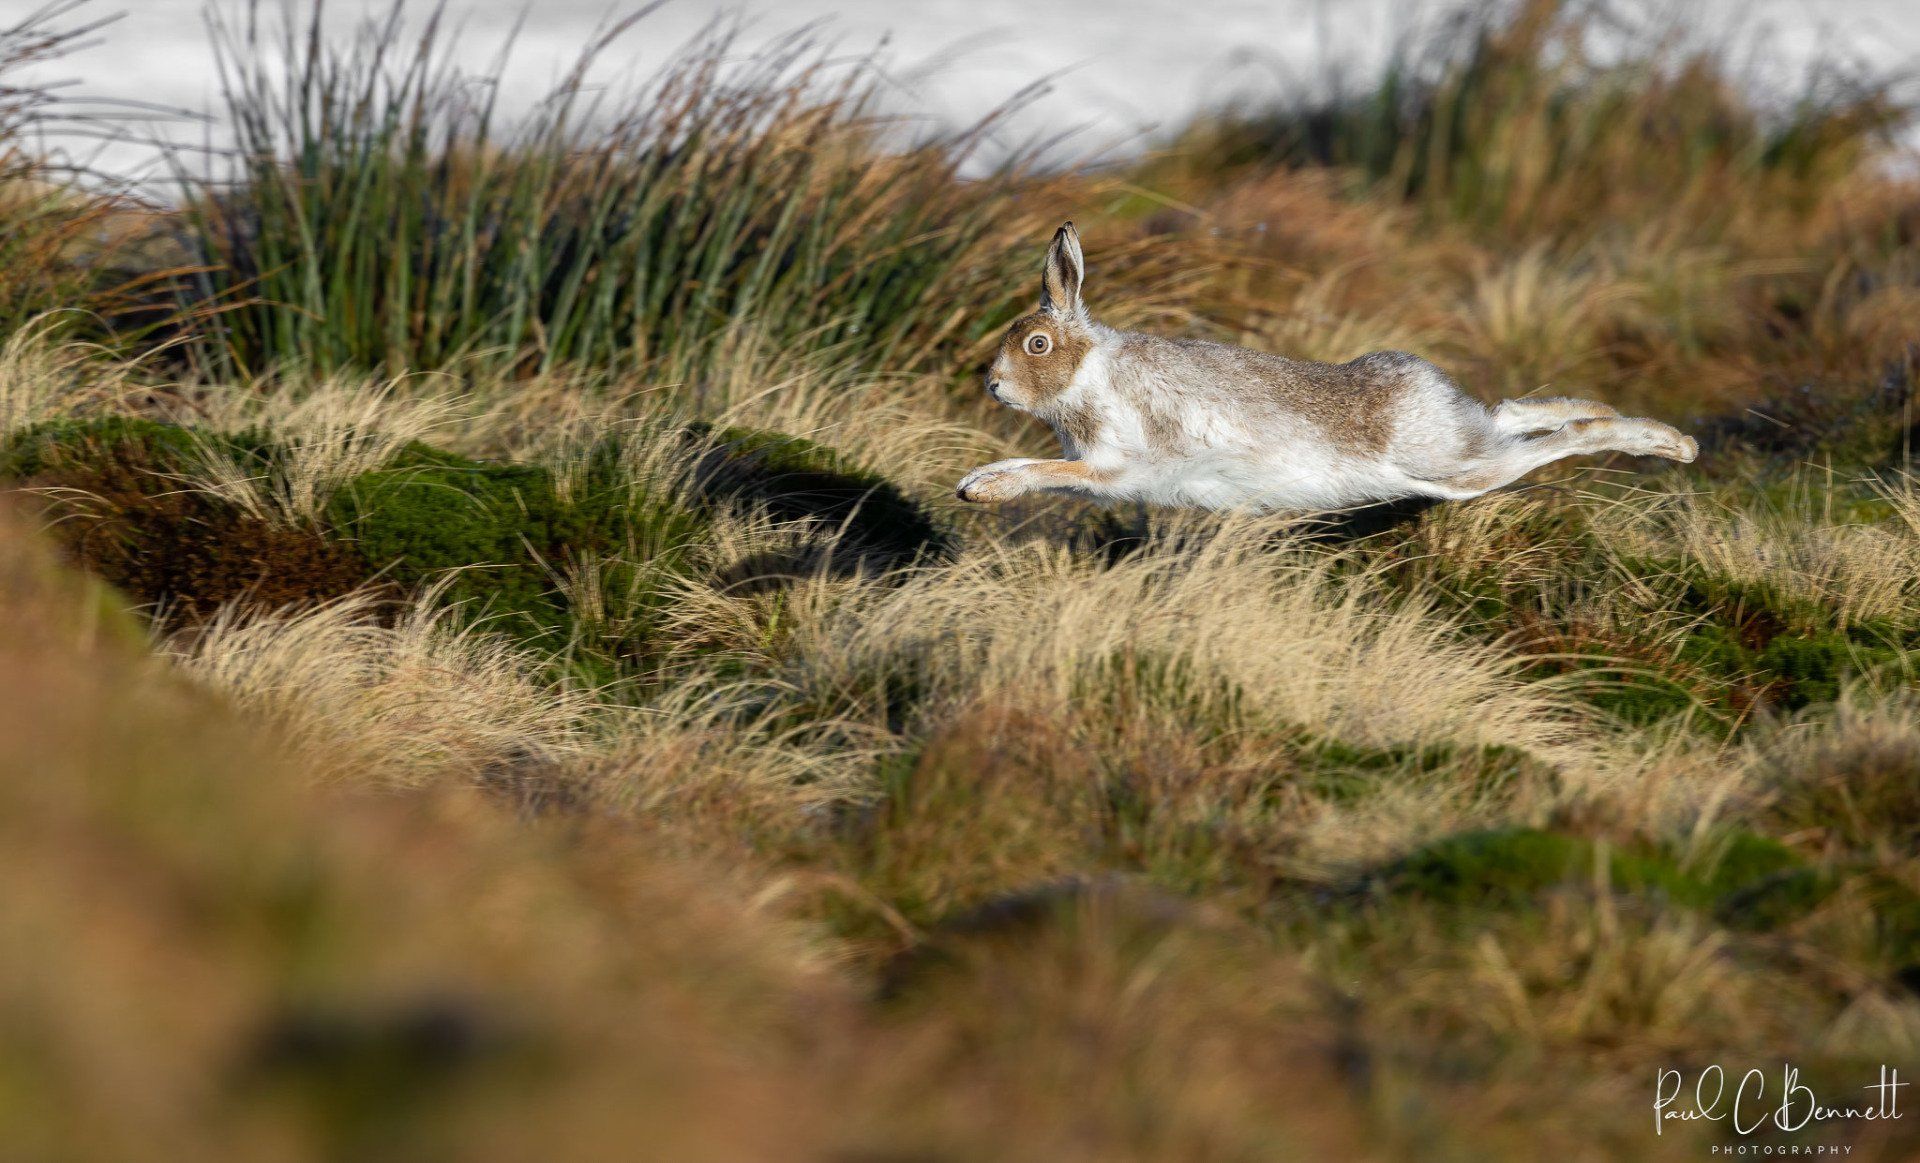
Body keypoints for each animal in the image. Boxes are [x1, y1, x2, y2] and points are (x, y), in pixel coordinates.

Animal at [956, 222, 1697, 511]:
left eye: (1036, 345)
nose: (993, 385)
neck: (1090, 371)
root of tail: (1437, 399)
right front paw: (973, 482)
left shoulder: (1116, 462)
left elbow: (1053, 472)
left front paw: (985, 489)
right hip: (1462, 454)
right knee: (1514, 411)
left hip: (1456, 471)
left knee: (1562, 440)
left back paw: (1672, 444)